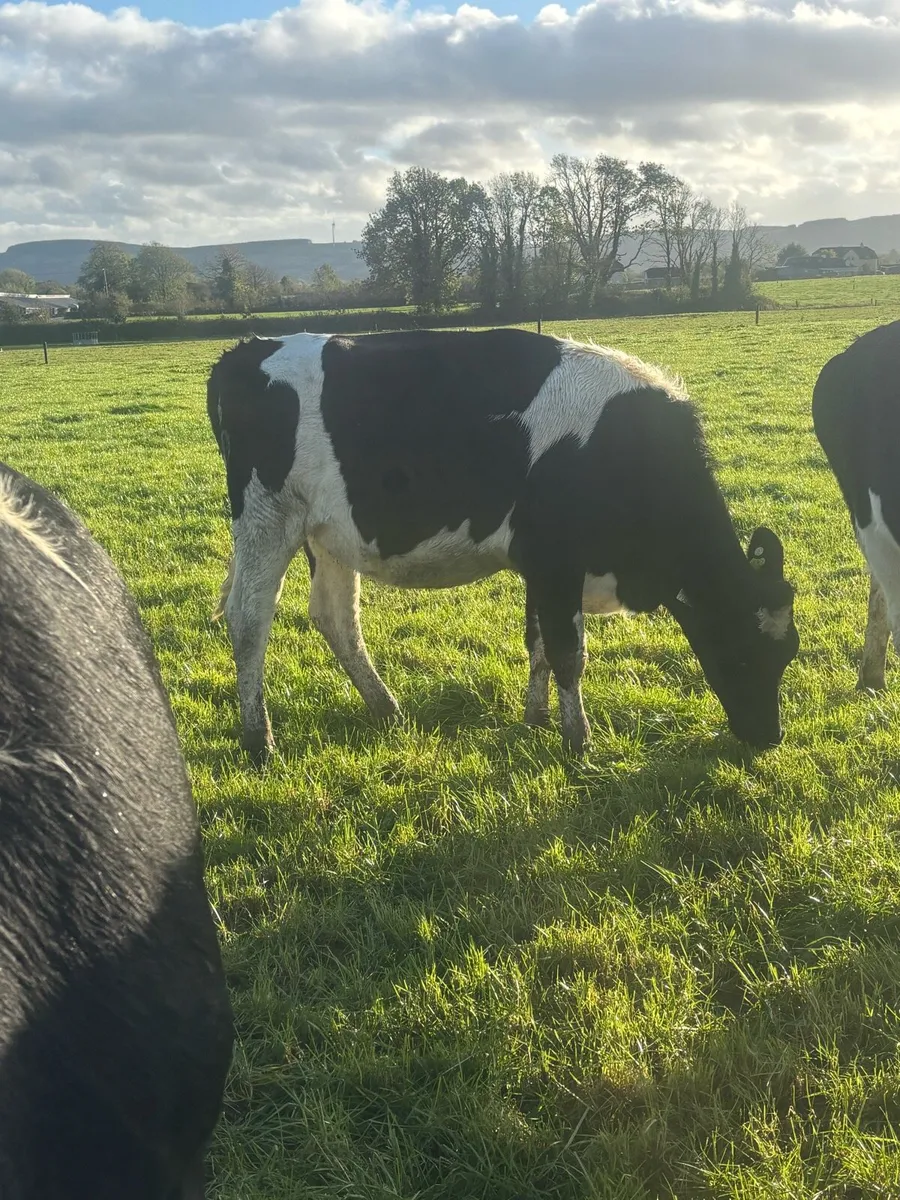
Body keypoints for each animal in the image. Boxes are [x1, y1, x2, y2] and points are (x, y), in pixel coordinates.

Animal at [206, 328, 799, 761]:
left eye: (788, 652)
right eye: (742, 653)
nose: (768, 736)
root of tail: (246, 349)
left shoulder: (540, 564)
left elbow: (537, 643)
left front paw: (537, 719)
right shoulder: (557, 562)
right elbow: (568, 652)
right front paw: (578, 741)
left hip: (330, 534)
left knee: (335, 617)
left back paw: (386, 708)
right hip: (266, 518)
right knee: (249, 620)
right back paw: (259, 738)